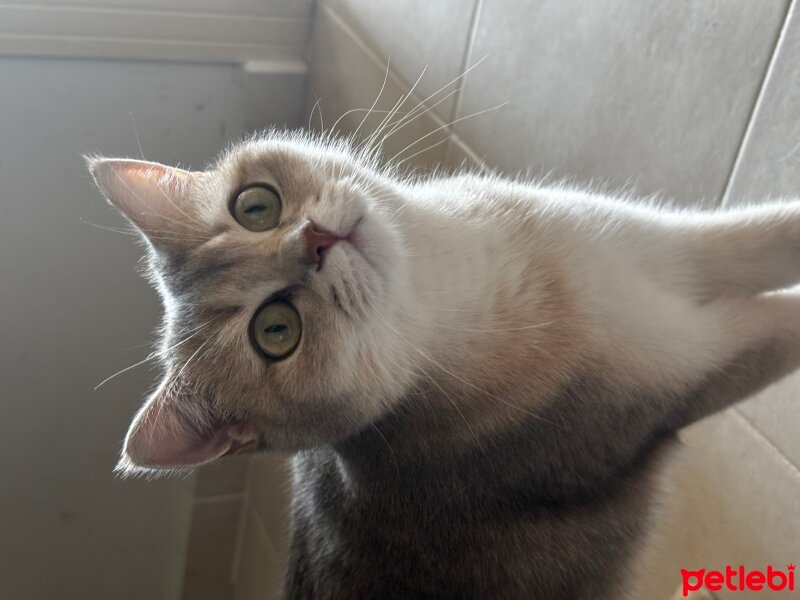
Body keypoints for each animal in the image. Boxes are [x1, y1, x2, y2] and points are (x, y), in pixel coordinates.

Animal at [89, 132, 800, 600]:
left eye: (254, 206)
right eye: (275, 331)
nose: (315, 242)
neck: (450, 284)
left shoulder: (648, 247)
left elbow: (755, 236)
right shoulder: (681, 375)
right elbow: (776, 327)